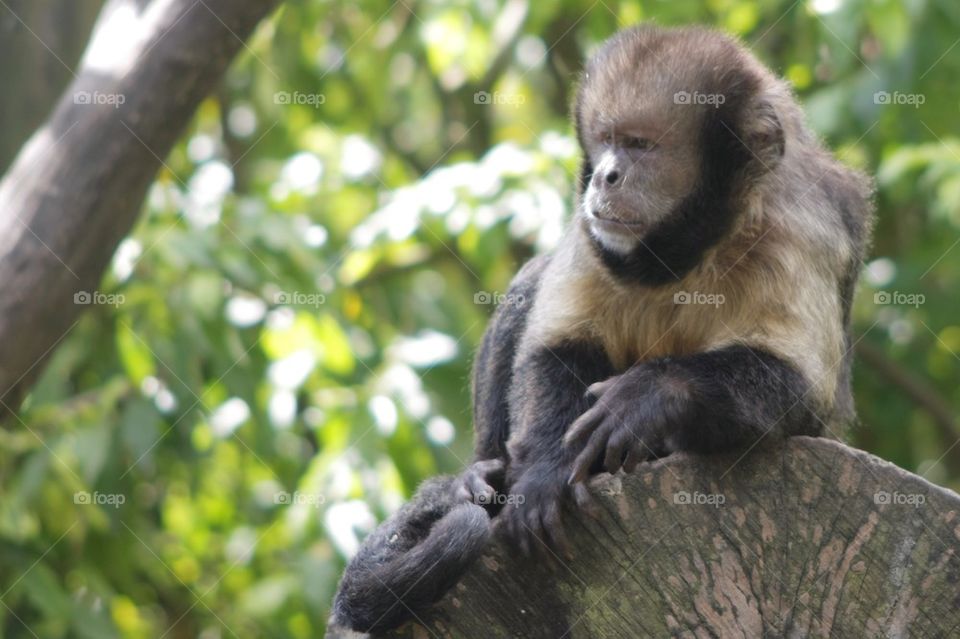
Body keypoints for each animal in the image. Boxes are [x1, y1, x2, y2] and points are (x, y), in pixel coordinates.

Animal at [330, 23, 872, 636]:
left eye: (640, 145)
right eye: (606, 140)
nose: (608, 176)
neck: (694, 246)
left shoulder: (797, 230)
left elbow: (801, 393)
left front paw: (651, 396)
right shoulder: (595, 233)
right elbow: (557, 346)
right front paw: (544, 472)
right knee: (532, 283)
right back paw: (474, 480)